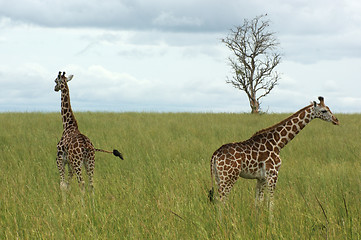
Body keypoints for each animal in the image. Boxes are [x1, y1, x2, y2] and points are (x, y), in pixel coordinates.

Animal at [208, 96, 338, 215]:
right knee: (222, 200)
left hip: (219, 177)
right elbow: (271, 202)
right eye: (324, 111)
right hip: (229, 177)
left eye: (329, 108)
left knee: (219, 200)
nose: (336, 120)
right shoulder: (273, 174)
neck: (278, 143)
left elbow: (258, 203)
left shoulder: (260, 178)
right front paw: (271, 222)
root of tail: (215, 154)